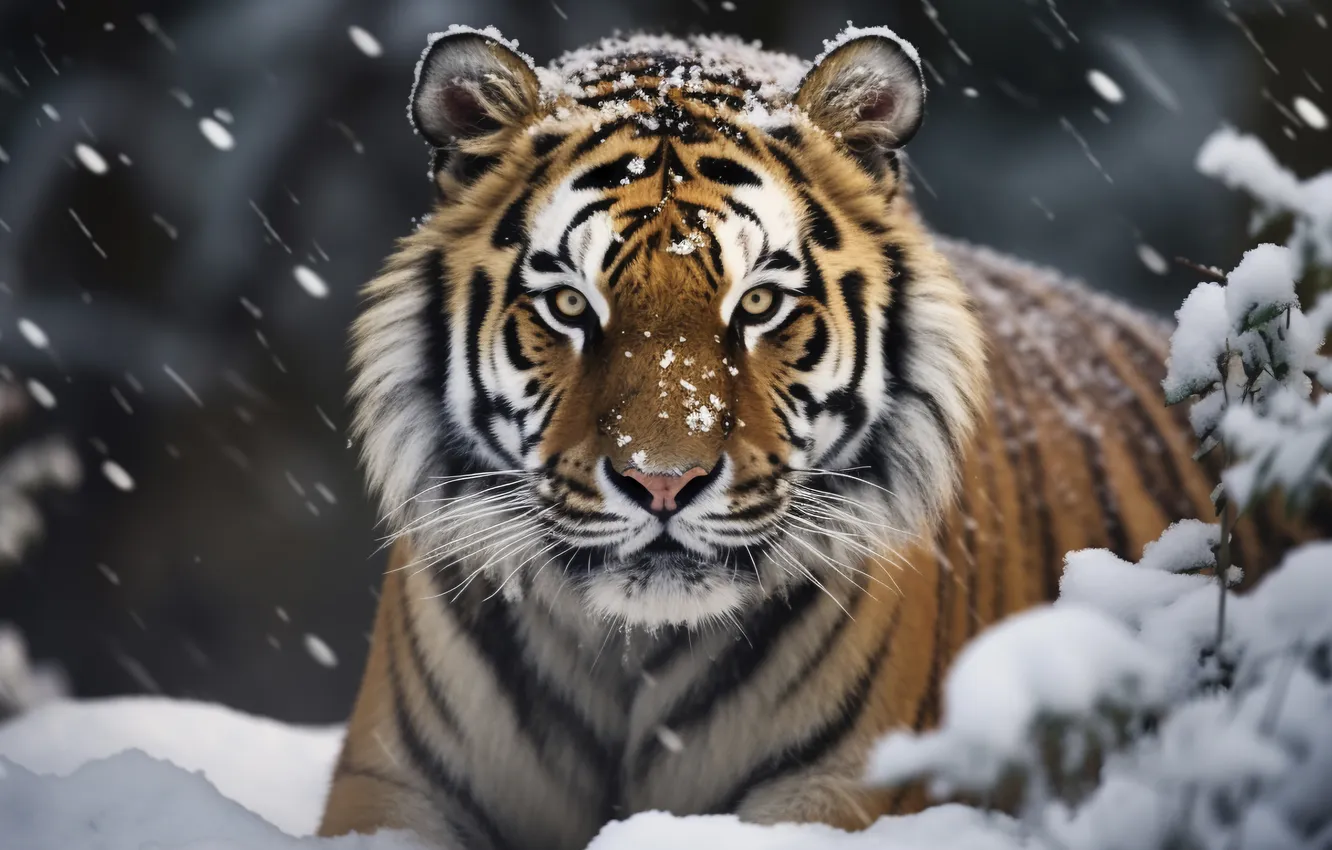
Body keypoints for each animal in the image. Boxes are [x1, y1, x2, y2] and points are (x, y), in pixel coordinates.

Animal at [319, 24, 1312, 850]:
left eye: (758, 303)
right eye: (569, 305)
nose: (663, 484)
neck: (630, 662)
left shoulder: (840, 794)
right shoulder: (390, 792)